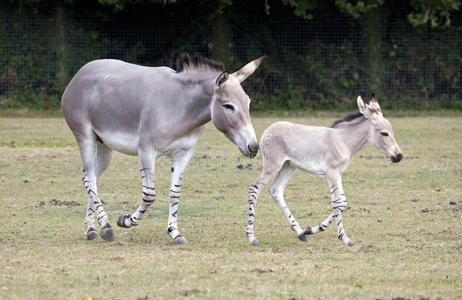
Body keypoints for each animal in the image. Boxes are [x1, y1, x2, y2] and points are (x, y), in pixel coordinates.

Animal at [247, 95, 402, 246]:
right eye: (384, 133)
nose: (399, 156)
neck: (344, 141)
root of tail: (268, 130)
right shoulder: (331, 172)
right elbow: (338, 203)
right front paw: (344, 238)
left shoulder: (338, 173)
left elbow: (343, 202)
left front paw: (311, 230)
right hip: (272, 166)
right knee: (254, 189)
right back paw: (252, 237)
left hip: (289, 166)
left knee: (276, 190)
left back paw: (300, 232)